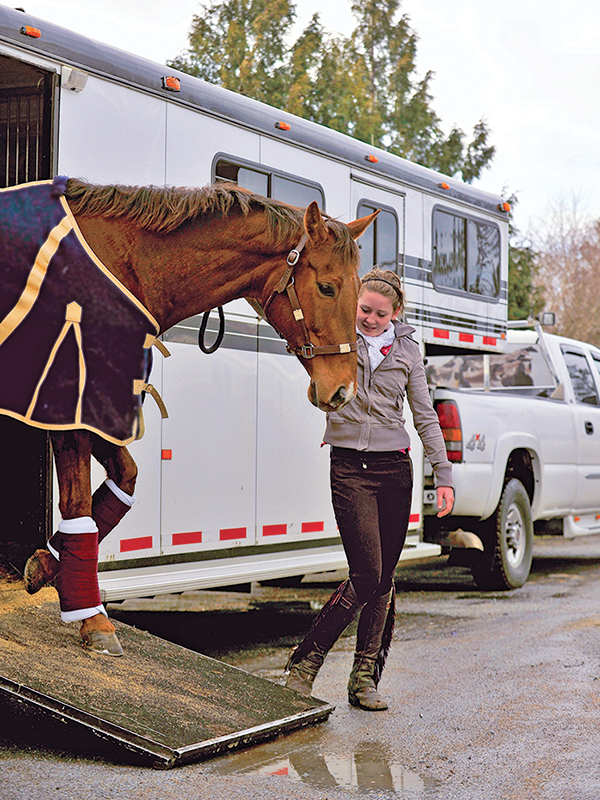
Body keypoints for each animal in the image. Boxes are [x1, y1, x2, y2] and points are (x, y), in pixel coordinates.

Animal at [4, 176, 378, 656]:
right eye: (328, 287)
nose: (343, 389)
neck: (117, 266)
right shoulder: (69, 406)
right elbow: (77, 504)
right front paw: (93, 619)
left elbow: (122, 481)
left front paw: (46, 565)